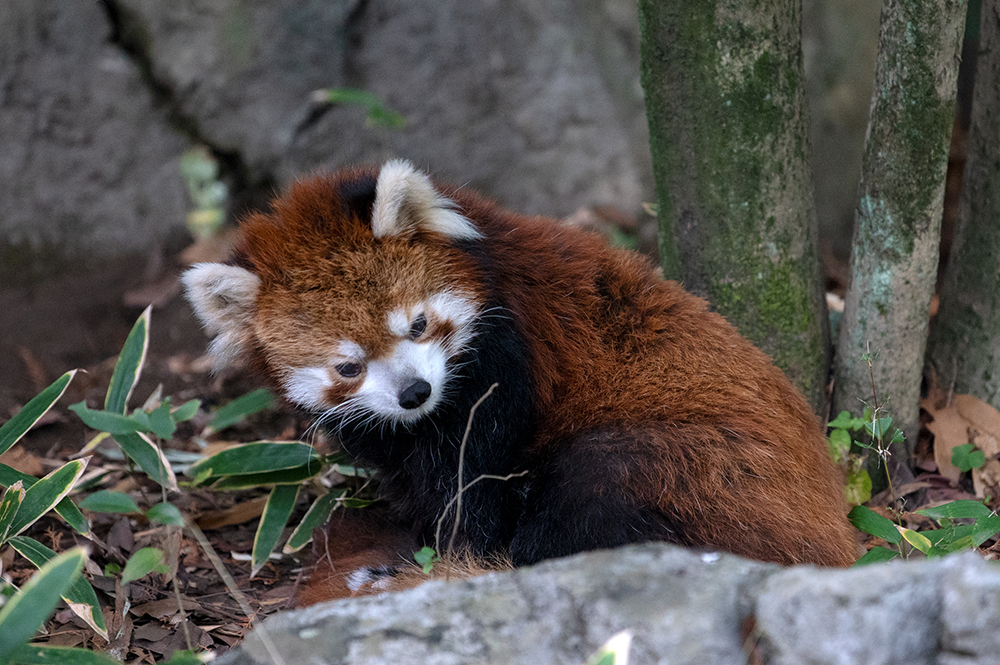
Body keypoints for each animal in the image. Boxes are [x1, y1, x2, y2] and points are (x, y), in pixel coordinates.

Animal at [186, 160, 860, 600]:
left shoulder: (506, 369)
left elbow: (475, 484)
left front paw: (453, 558)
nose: (414, 393)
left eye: (418, 325)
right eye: (348, 367)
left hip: (695, 471)